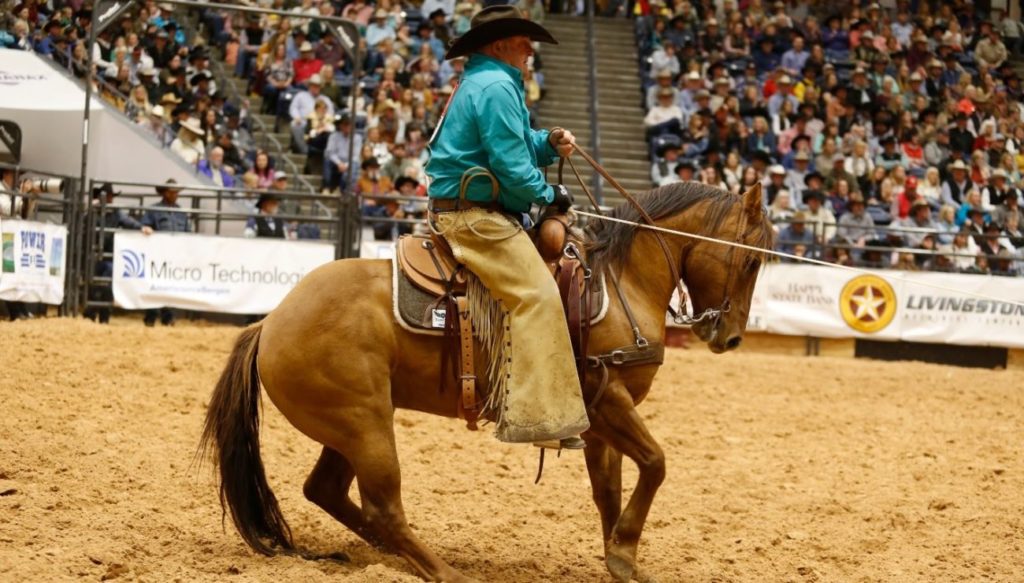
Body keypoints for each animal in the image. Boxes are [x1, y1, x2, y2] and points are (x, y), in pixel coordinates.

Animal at [199, 179, 770, 577]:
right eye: (751, 262)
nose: (730, 337)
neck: (619, 281)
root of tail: (269, 322)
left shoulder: (600, 418)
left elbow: (609, 490)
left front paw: (618, 559)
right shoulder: (611, 402)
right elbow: (655, 464)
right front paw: (626, 552)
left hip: (349, 427)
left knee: (327, 490)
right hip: (365, 425)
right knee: (383, 506)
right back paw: (443, 571)